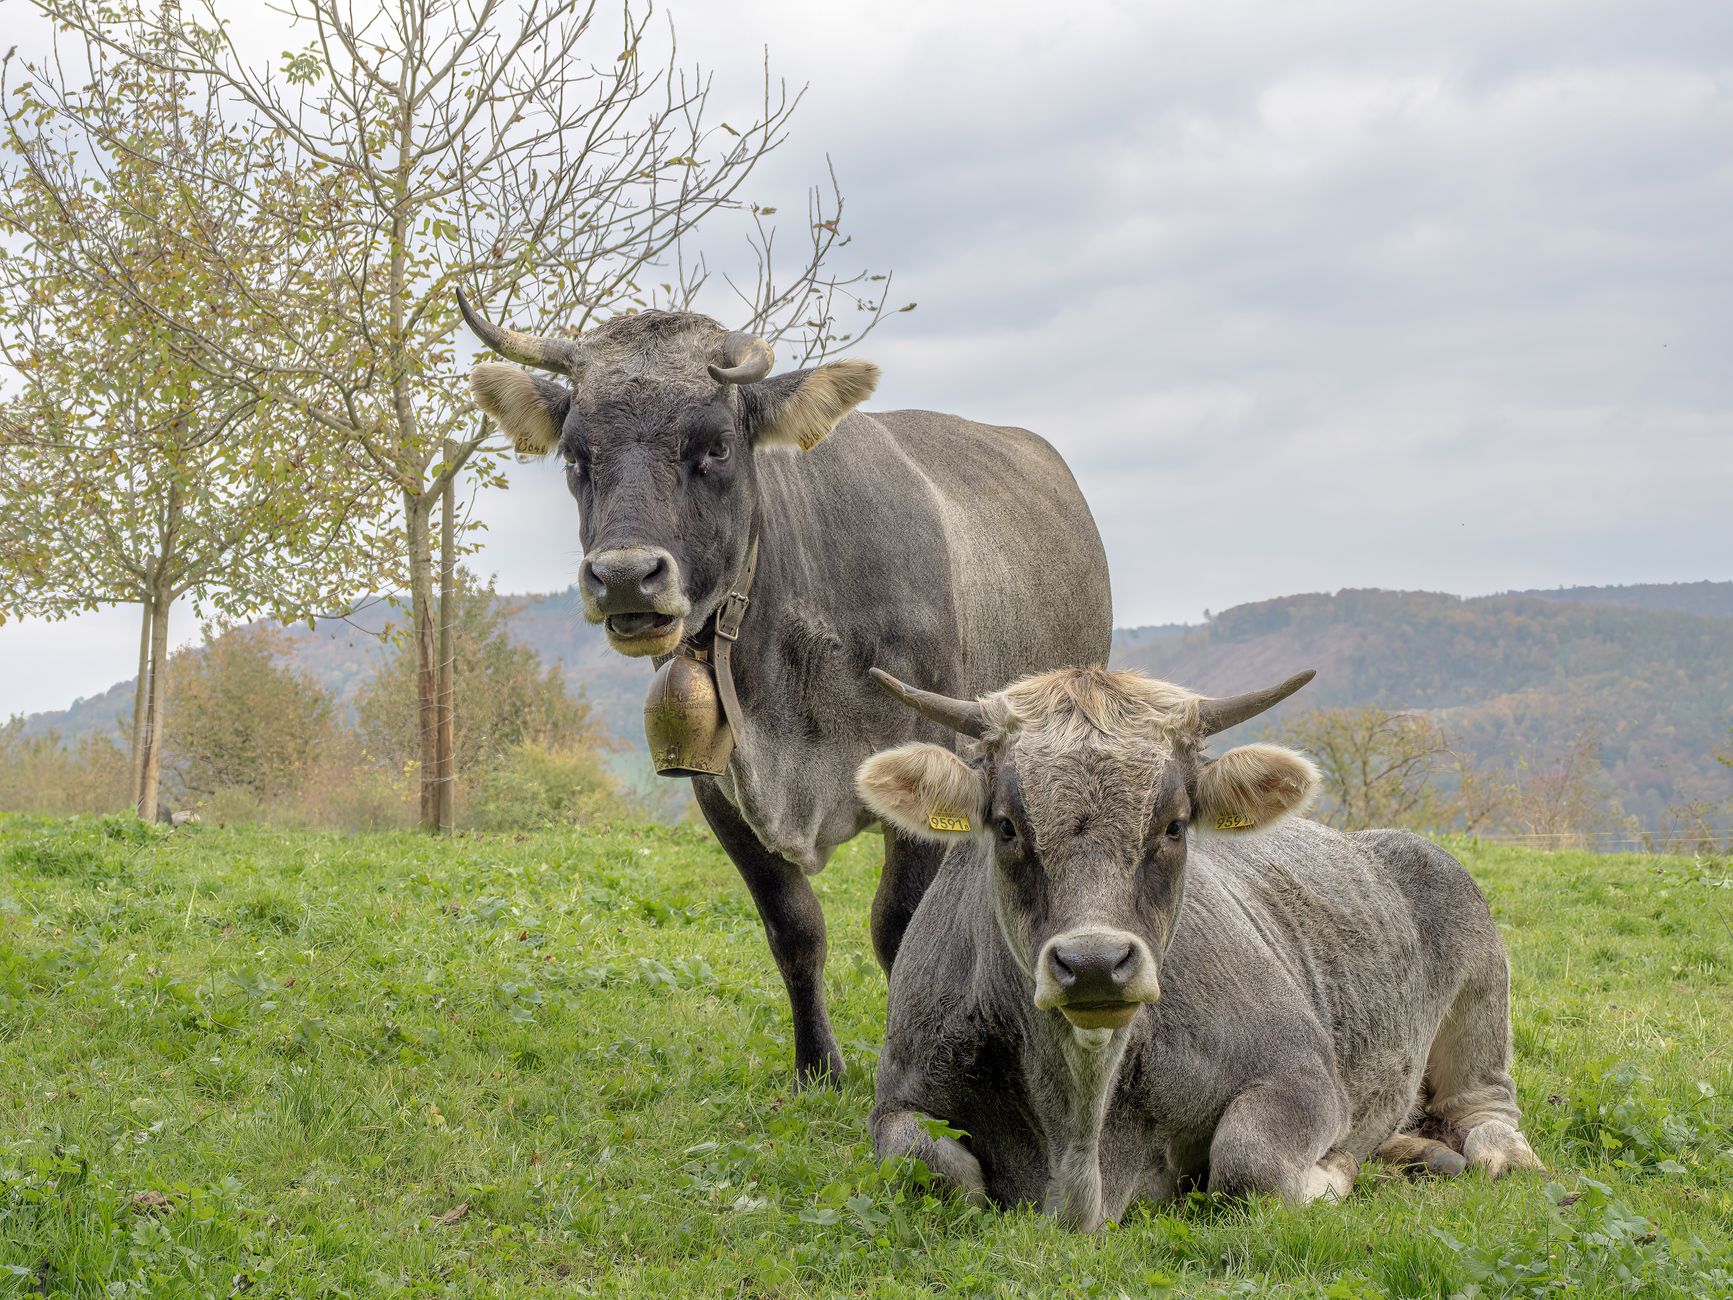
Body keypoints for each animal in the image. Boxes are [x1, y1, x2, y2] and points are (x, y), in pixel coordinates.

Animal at [457, 293, 1112, 1086]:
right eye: (576, 456)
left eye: (714, 448)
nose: (624, 576)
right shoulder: (719, 790)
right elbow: (794, 930)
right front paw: (817, 1067)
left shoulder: (926, 766)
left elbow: (899, 928)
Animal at [854, 664, 1541, 1230]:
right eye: (1006, 826)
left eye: (1174, 826)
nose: (1095, 963)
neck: (1081, 1144)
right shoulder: (899, 1098)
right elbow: (934, 1170)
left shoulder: (1302, 1071)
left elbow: (1249, 1161)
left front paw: (1334, 1170)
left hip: (1481, 997)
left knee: (1485, 1108)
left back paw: (1503, 1159)